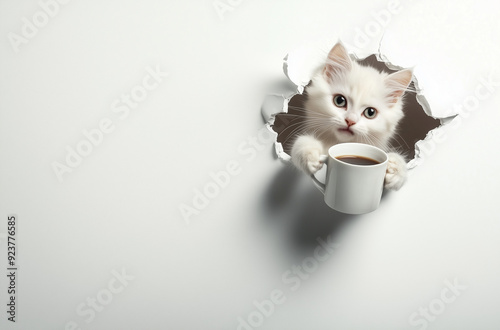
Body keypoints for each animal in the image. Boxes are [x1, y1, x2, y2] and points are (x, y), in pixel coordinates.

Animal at [292, 42, 412, 191]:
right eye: (339, 100)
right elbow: (301, 143)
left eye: (370, 112)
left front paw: (395, 169)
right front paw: (311, 155)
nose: (350, 121)